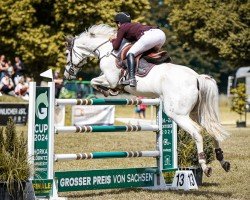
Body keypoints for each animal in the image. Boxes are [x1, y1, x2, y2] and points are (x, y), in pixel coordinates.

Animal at [64, 23, 230, 177]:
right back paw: (223, 161)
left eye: (67, 54)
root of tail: (196, 77)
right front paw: (110, 91)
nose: (67, 74)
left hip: (177, 114)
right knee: (210, 128)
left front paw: (109, 91)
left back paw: (205, 166)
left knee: (197, 132)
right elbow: (95, 81)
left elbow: (94, 81)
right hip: (196, 112)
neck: (106, 50)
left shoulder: (111, 79)